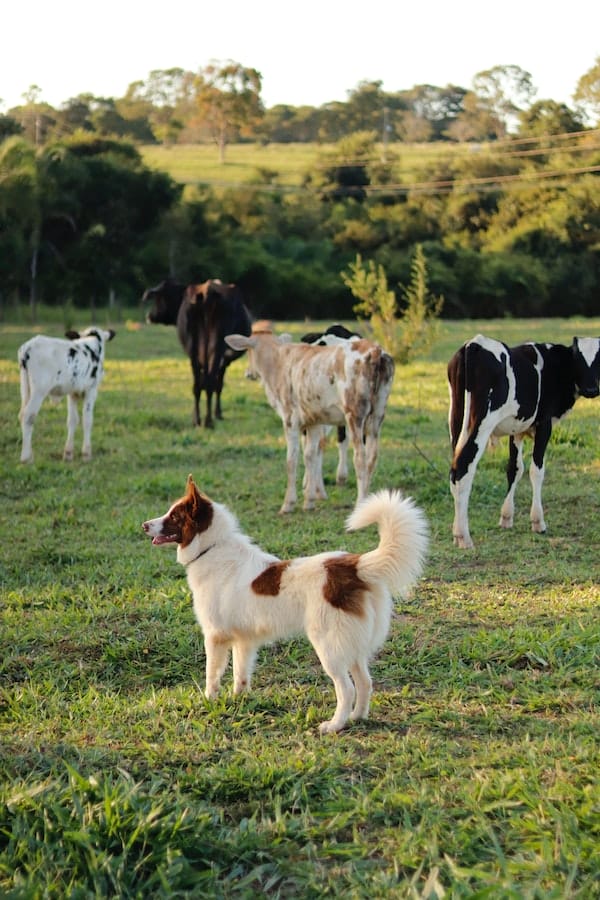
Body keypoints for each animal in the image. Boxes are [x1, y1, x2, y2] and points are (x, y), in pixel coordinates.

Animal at [17, 326, 116, 464]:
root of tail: (28, 346)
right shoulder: (91, 390)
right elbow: (87, 420)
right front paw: (86, 453)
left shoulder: (72, 392)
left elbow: (72, 420)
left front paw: (68, 453)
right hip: (39, 390)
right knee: (28, 416)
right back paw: (26, 458)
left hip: (25, 388)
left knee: (21, 414)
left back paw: (29, 454)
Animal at [143, 276, 251, 428]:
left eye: (158, 299)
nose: (148, 316)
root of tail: (208, 291)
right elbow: (215, 384)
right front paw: (217, 414)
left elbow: (212, 384)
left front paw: (216, 414)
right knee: (207, 383)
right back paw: (207, 421)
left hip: (196, 348)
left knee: (200, 385)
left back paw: (199, 420)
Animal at [143, 474, 428, 736]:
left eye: (174, 516)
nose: (144, 525)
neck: (211, 547)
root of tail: (355, 566)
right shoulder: (244, 641)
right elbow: (240, 675)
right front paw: (238, 701)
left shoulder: (215, 637)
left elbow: (211, 675)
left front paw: (208, 701)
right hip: (351, 645)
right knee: (365, 683)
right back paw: (357, 717)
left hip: (329, 647)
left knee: (346, 689)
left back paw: (335, 725)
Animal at [225, 330, 394, 512]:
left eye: (248, 351)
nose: (248, 372)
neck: (278, 361)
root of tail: (375, 350)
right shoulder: (314, 421)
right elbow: (310, 455)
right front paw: (309, 501)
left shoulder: (290, 418)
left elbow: (291, 460)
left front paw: (288, 503)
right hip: (378, 414)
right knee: (372, 457)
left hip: (354, 413)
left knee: (360, 458)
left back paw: (360, 503)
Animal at [448, 332, 596, 548]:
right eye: (579, 358)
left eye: (599, 359)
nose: (591, 389)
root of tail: (475, 343)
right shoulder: (544, 424)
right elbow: (536, 471)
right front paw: (538, 521)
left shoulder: (517, 429)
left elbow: (514, 469)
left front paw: (506, 517)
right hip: (482, 423)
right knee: (463, 469)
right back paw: (464, 537)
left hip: (456, 420)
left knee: (453, 472)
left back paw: (456, 534)